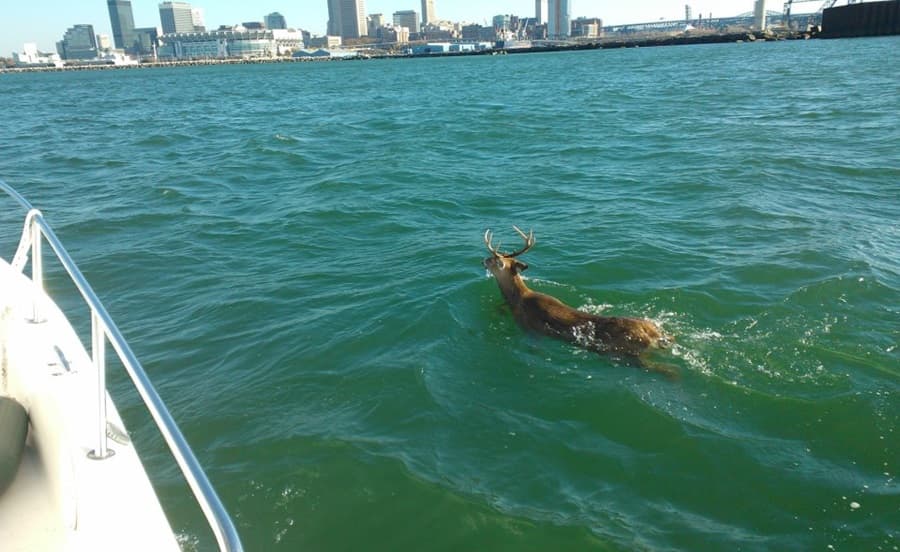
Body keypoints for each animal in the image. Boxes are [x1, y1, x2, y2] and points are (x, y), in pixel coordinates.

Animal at [483, 226, 675, 375]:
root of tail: (654, 333)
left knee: (668, 370)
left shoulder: (530, 329)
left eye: (493, 260)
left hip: (631, 353)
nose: (482, 260)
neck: (518, 299)